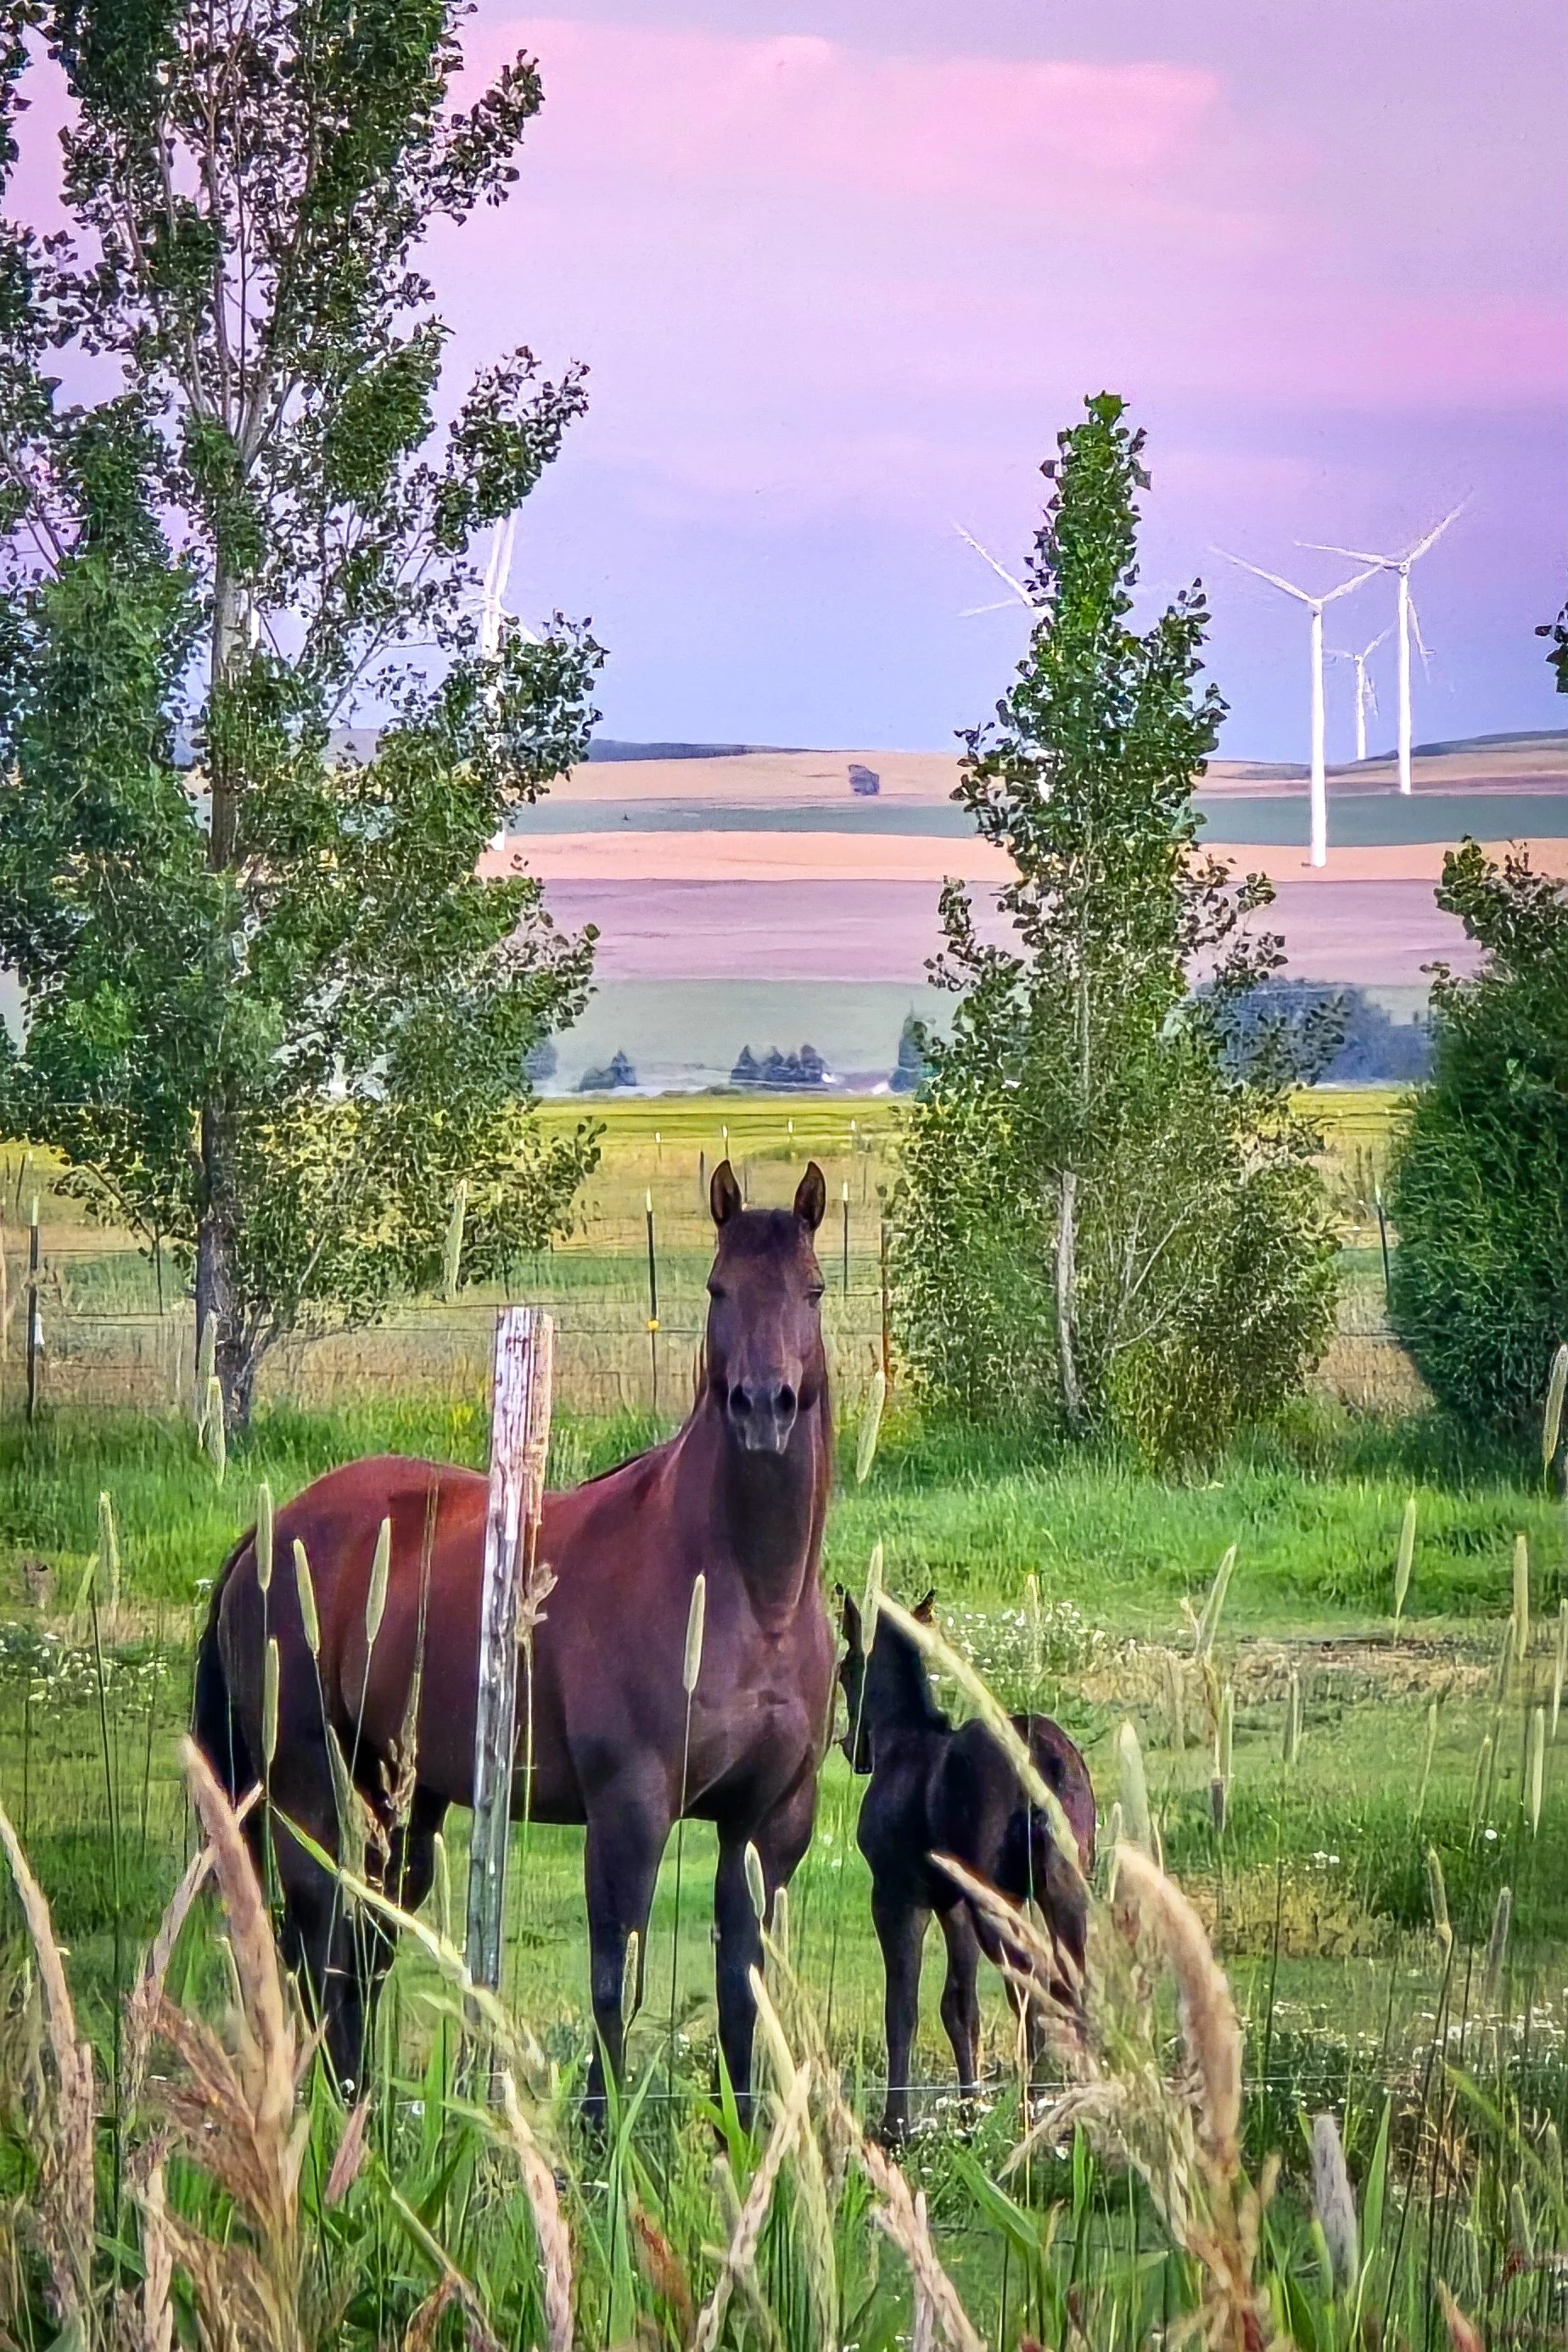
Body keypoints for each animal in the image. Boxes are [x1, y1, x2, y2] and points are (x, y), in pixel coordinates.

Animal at [194, 1161, 837, 2115]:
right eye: (719, 1289)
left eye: (813, 1290)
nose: (764, 1407)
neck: (752, 1595)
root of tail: (270, 1534)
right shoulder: (629, 1812)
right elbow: (614, 1982)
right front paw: (602, 2140)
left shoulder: (769, 1825)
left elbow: (740, 1992)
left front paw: (747, 2135)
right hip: (306, 1780)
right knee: (314, 1936)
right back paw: (329, 2106)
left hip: (401, 1797)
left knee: (367, 1942)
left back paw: (359, 2104)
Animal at [837, 1589, 1096, 2144]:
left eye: (845, 1668)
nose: (853, 1749)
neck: (901, 1741)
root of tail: (1041, 1759)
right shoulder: (950, 1900)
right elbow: (960, 2006)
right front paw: (967, 2112)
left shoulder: (897, 1894)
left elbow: (902, 2008)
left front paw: (895, 2126)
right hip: (1062, 1889)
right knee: (1071, 1990)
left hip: (999, 1900)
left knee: (1032, 1992)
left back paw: (1033, 2111)